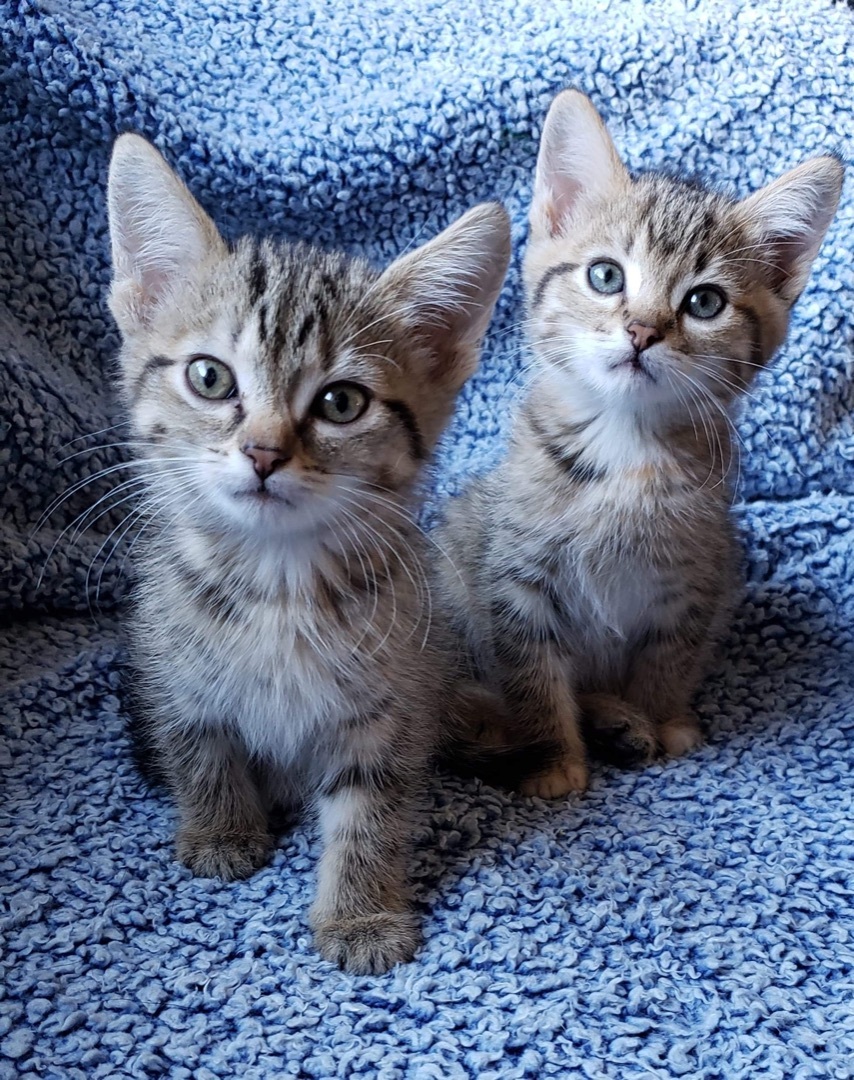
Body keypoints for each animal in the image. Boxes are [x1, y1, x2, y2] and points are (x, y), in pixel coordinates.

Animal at [105, 132, 507, 972]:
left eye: (341, 402)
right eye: (209, 377)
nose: (262, 452)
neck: (278, 579)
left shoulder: (390, 701)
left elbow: (371, 810)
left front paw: (360, 914)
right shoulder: (170, 661)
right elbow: (199, 743)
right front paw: (221, 830)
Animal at [438, 92, 846, 799]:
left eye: (705, 302)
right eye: (606, 275)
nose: (642, 330)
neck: (626, 449)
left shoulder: (696, 582)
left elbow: (669, 661)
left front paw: (658, 722)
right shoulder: (515, 581)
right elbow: (533, 677)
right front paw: (554, 760)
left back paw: (618, 721)